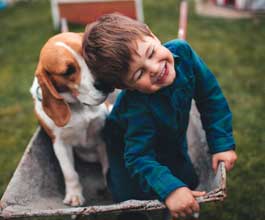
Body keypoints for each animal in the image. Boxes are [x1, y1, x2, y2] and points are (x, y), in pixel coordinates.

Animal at [29, 32, 111, 206]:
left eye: (89, 54)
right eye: (68, 71)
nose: (105, 83)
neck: (80, 106)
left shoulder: (102, 137)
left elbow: (108, 166)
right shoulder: (60, 144)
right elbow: (70, 173)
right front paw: (74, 195)